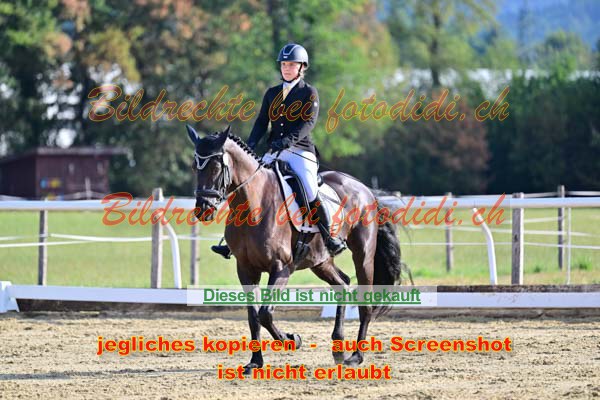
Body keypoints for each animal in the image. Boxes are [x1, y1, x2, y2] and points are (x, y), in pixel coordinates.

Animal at [186, 125, 403, 372]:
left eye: (216, 166)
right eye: (194, 166)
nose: (203, 209)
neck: (255, 204)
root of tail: (364, 188)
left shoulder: (281, 268)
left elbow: (265, 314)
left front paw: (292, 340)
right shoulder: (246, 269)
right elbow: (253, 316)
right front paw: (255, 361)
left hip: (363, 255)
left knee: (364, 302)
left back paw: (356, 356)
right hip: (320, 261)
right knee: (342, 284)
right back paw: (338, 349)